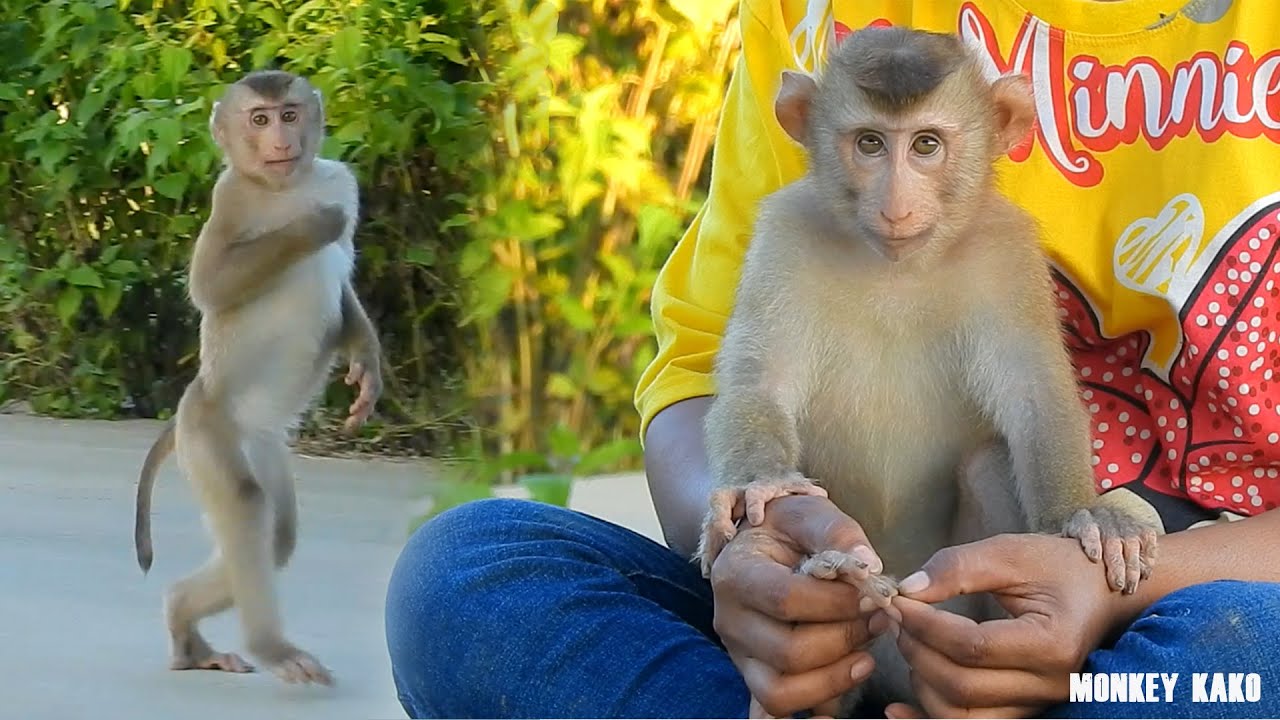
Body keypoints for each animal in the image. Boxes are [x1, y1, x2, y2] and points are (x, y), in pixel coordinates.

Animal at [131, 69, 383, 687]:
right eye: (259, 119)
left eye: (289, 114)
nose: (280, 143)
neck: (284, 187)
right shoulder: (231, 197)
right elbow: (210, 285)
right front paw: (311, 225)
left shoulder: (341, 180)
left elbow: (343, 280)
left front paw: (366, 360)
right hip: (208, 435)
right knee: (246, 505)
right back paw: (270, 645)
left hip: (264, 446)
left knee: (277, 536)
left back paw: (186, 622)